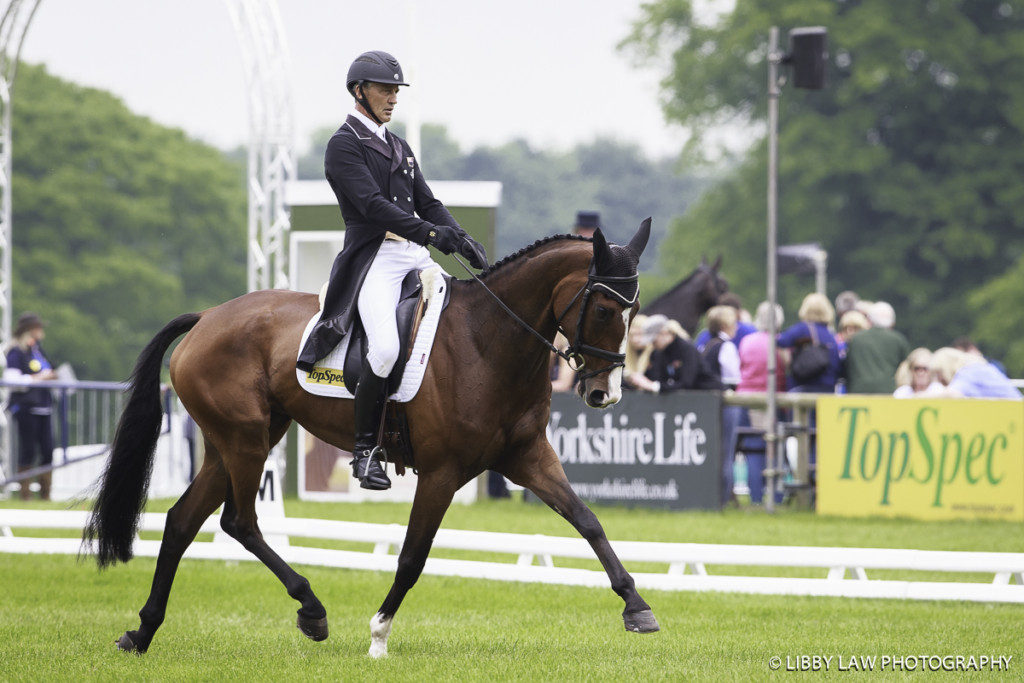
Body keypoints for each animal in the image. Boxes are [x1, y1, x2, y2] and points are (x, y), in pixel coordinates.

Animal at [83, 219, 659, 655]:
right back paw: (311, 610)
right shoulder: (442, 472)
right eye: (603, 309)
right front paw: (379, 633)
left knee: (183, 522)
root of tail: (207, 318)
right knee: (240, 522)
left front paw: (638, 607)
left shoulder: (527, 457)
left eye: (634, 311)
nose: (604, 393)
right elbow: (412, 556)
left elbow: (587, 520)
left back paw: (142, 632)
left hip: (237, 441)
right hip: (245, 441)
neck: (486, 340)